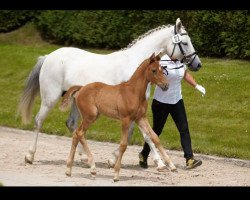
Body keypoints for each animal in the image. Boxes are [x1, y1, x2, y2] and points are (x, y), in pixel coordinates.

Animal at [59, 52, 177, 181]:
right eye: (154, 70)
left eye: (162, 69)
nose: (166, 85)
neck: (134, 93)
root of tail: (81, 88)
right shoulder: (125, 119)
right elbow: (123, 144)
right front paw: (116, 173)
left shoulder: (141, 118)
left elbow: (155, 137)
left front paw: (171, 165)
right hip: (90, 116)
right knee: (79, 133)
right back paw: (90, 168)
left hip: (93, 116)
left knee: (77, 134)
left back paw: (71, 170)